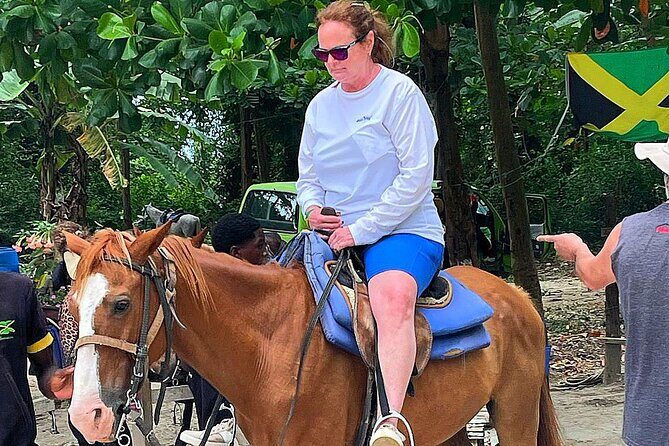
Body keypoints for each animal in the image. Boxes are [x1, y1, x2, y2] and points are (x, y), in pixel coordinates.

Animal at [64, 223, 562, 446]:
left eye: (122, 303)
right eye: (70, 306)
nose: (87, 415)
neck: (270, 350)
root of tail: (517, 296)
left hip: (515, 416)